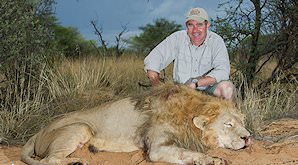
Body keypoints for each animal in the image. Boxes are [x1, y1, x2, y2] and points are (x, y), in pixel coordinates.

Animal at [21, 84, 250, 165]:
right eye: (228, 124)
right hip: (80, 127)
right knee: (49, 160)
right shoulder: (157, 148)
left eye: (243, 122)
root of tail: (38, 131)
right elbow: (189, 153)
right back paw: (77, 161)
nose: (248, 137)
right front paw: (213, 160)